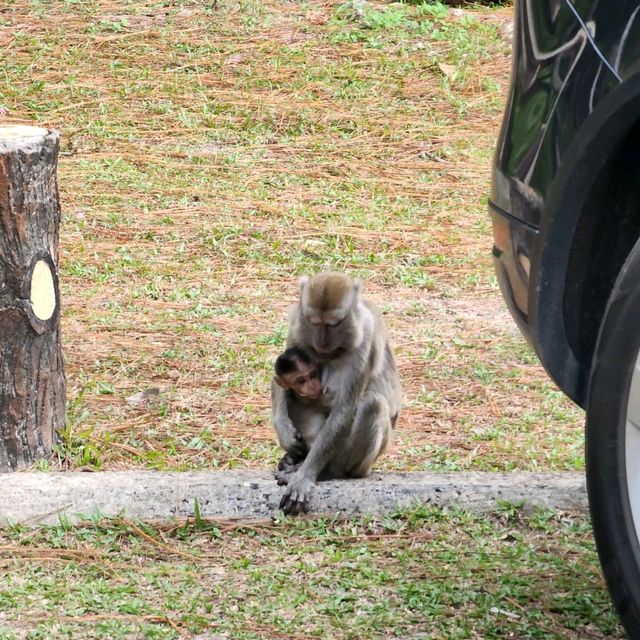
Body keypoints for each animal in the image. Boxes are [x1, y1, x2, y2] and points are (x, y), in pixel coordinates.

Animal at [272, 272, 402, 516]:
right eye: (314, 322)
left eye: (333, 324)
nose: (322, 343)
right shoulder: (296, 323)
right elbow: (280, 380)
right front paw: (284, 430)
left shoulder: (365, 341)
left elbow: (344, 409)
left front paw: (304, 477)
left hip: (366, 461)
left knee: (372, 403)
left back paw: (329, 472)